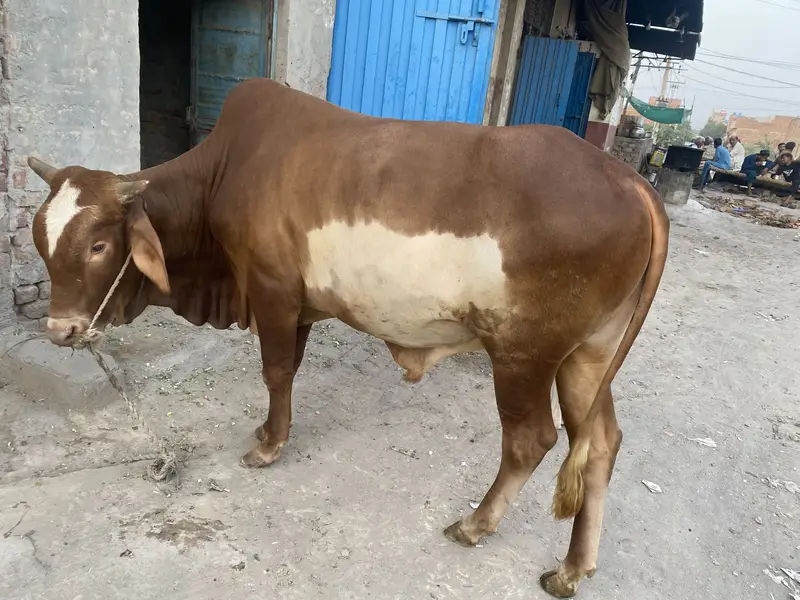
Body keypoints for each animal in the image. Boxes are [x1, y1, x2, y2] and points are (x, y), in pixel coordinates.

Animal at [27, 78, 668, 598]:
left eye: (98, 245)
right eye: (40, 238)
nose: (61, 330)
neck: (223, 174)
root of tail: (631, 183)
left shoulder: (273, 294)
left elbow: (275, 372)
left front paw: (267, 447)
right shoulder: (298, 308)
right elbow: (287, 373)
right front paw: (269, 431)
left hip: (525, 355)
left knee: (532, 440)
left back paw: (475, 524)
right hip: (587, 354)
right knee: (600, 444)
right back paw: (572, 568)